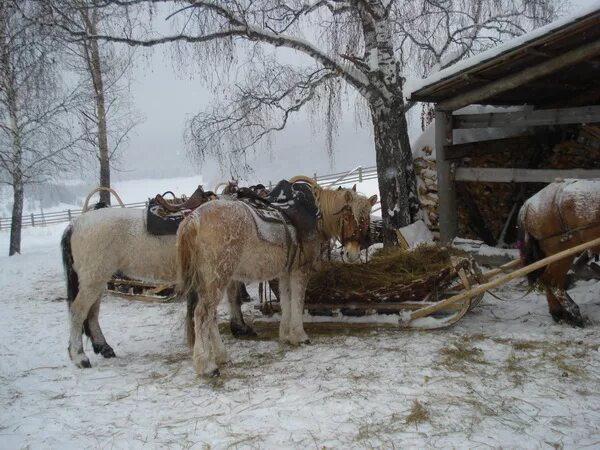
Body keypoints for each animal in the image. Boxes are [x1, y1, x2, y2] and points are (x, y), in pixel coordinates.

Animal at [62, 188, 256, 368]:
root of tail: (76, 223)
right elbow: (234, 298)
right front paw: (240, 327)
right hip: (93, 280)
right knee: (78, 311)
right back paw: (79, 356)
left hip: (97, 281)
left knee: (92, 312)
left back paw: (103, 347)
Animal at [176, 177, 378, 376]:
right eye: (348, 217)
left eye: (366, 219)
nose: (352, 254)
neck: (315, 215)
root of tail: (193, 220)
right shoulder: (300, 271)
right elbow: (298, 301)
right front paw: (300, 335)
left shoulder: (285, 272)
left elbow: (286, 301)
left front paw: (287, 335)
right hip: (217, 279)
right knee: (202, 314)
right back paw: (207, 365)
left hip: (211, 281)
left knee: (211, 315)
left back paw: (221, 355)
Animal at [516, 178, 600, 328]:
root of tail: (528, 204)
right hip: (562, 252)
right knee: (551, 280)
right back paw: (573, 312)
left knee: (551, 280)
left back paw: (560, 314)